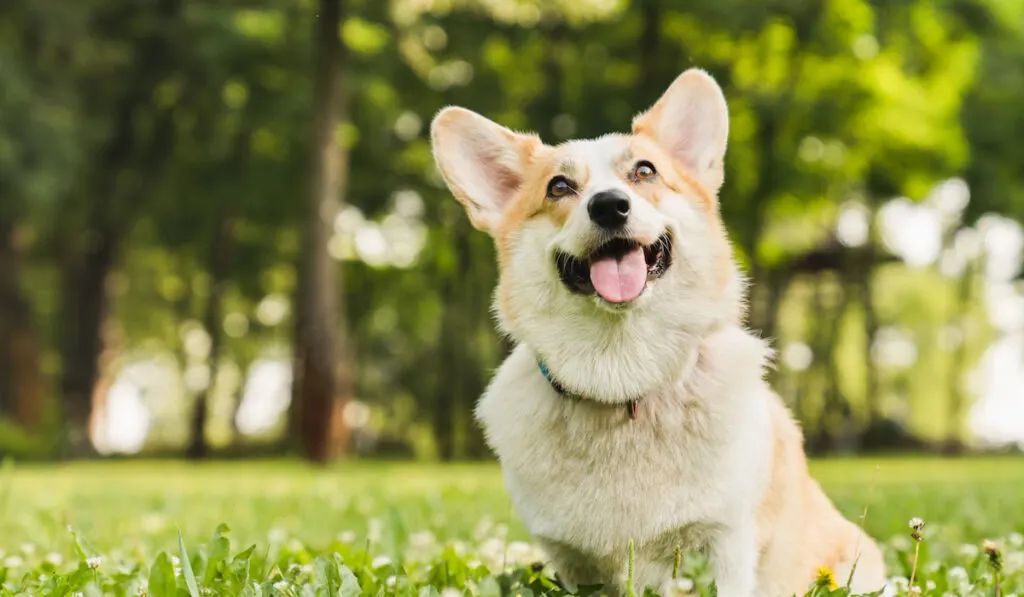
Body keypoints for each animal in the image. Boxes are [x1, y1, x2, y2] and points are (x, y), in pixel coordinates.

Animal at [428, 69, 884, 597]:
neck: (623, 376)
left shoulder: (727, 541)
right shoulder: (572, 562)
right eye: (559, 186)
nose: (609, 206)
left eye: (644, 172)